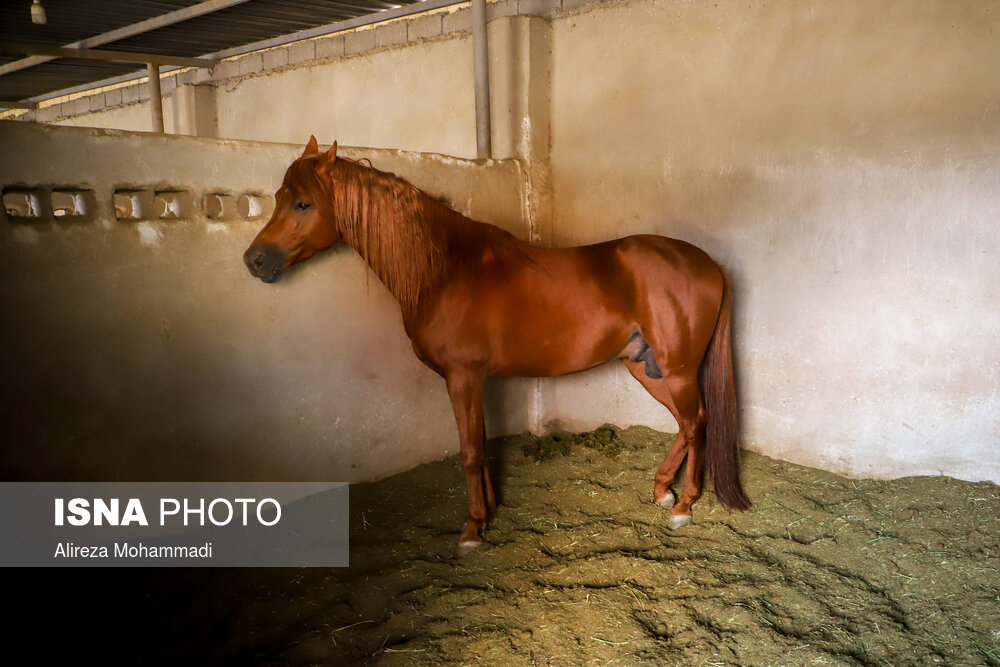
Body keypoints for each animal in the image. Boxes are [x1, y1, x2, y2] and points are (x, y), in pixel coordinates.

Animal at [244, 136, 752, 552]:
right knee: (686, 423)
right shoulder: (476, 380)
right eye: (278, 199)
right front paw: (488, 509)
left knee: (697, 422)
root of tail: (706, 262)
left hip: (678, 369)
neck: (445, 271)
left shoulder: (462, 377)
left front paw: (472, 530)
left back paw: (683, 506)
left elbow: (469, 452)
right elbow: (481, 444)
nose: (255, 260)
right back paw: (662, 489)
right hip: (646, 365)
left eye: (303, 203)